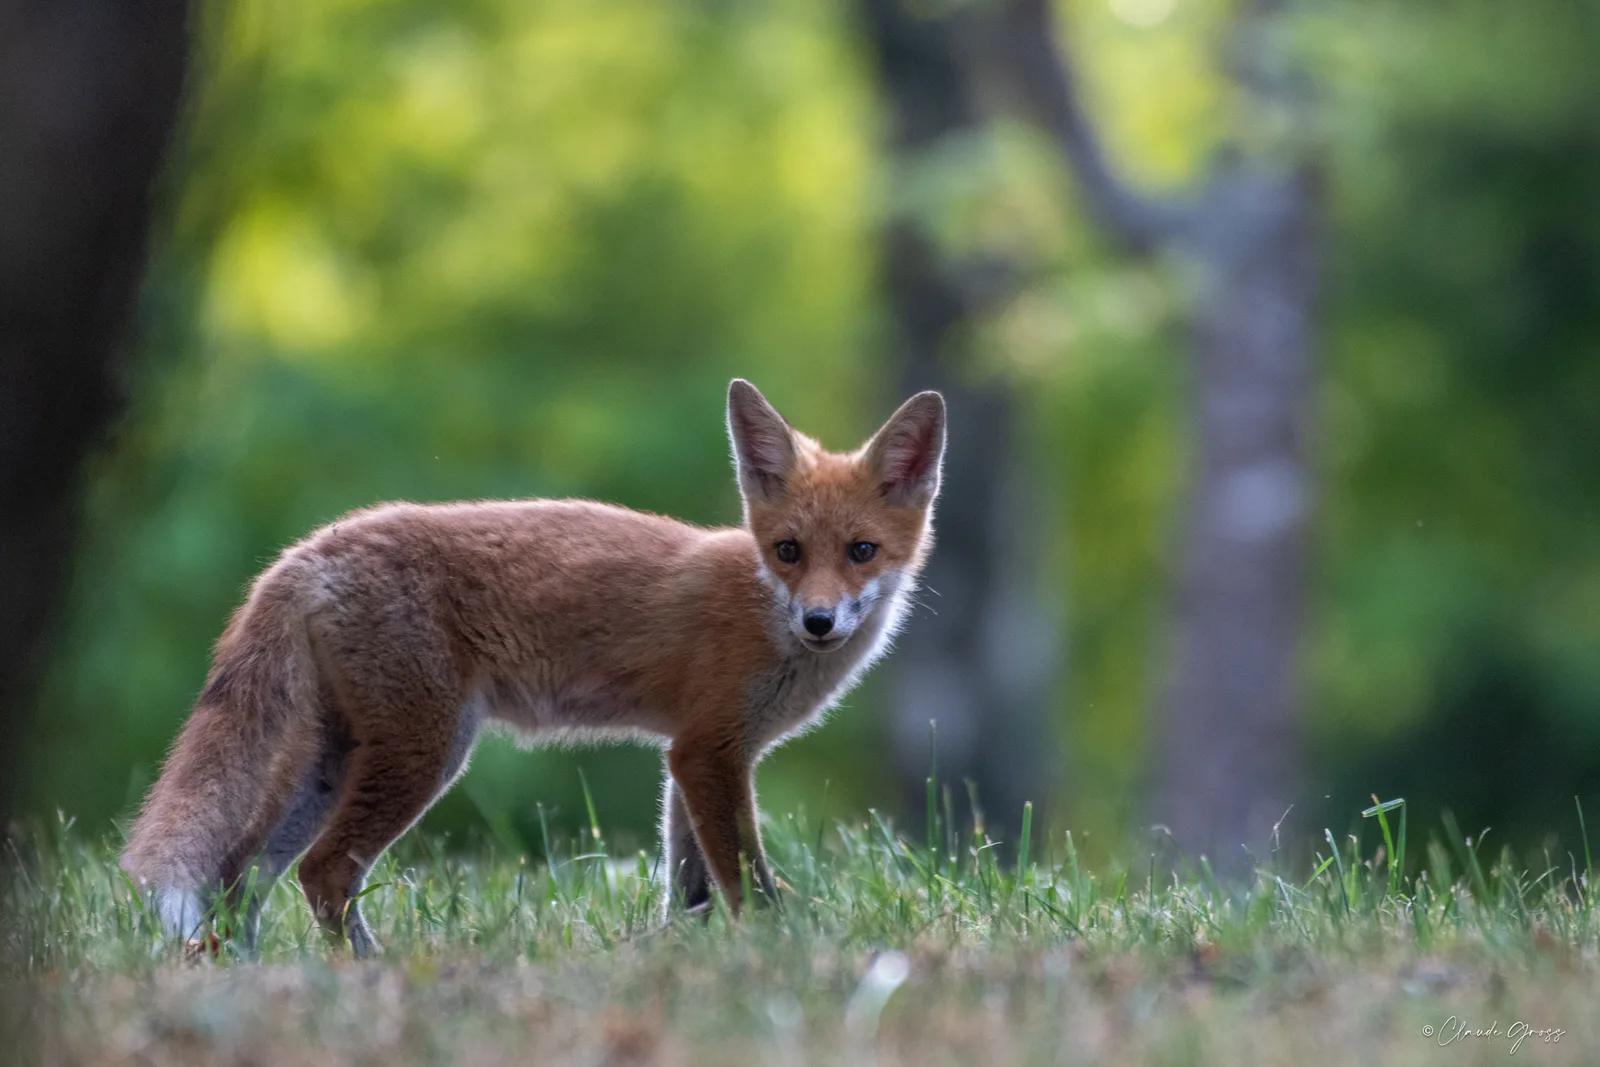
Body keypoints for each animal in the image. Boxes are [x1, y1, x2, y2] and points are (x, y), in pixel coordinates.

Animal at [120, 379, 945, 955]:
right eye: (789, 551)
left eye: (862, 551)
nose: (819, 621)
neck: (762, 612)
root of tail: (305, 550)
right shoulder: (709, 750)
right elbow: (746, 881)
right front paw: (773, 955)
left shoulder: (689, 753)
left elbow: (692, 888)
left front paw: (683, 958)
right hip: (427, 749)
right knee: (319, 872)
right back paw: (371, 972)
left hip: (335, 757)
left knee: (239, 873)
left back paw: (252, 972)